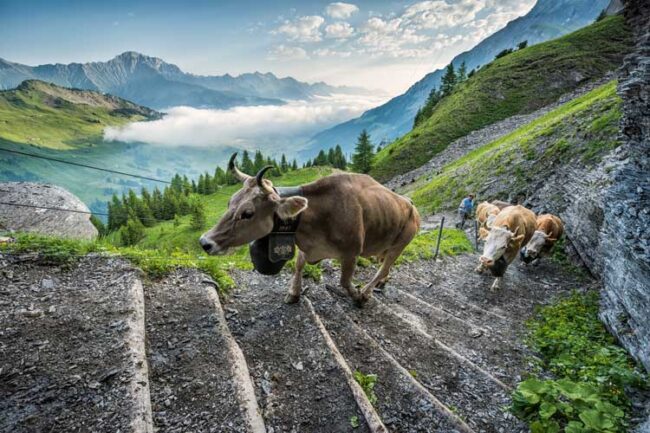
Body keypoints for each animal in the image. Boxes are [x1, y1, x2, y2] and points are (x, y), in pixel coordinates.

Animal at [199, 153, 420, 306]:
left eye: (247, 213)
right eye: (230, 202)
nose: (204, 242)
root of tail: (410, 204)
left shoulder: (352, 252)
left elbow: (344, 281)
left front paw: (357, 296)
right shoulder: (307, 246)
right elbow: (298, 265)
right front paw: (293, 293)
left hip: (401, 243)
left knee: (385, 267)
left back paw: (367, 291)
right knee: (384, 266)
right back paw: (382, 283)